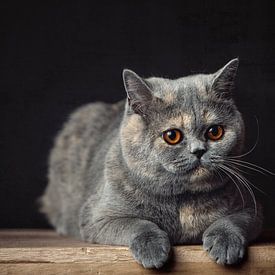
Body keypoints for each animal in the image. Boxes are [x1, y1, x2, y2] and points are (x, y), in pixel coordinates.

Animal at [40, 58, 264, 270]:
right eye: (172, 136)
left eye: (215, 132)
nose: (199, 150)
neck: (183, 202)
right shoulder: (98, 217)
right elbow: (137, 223)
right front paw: (153, 251)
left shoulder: (252, 209)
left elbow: (233, 220)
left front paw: (225, 246)